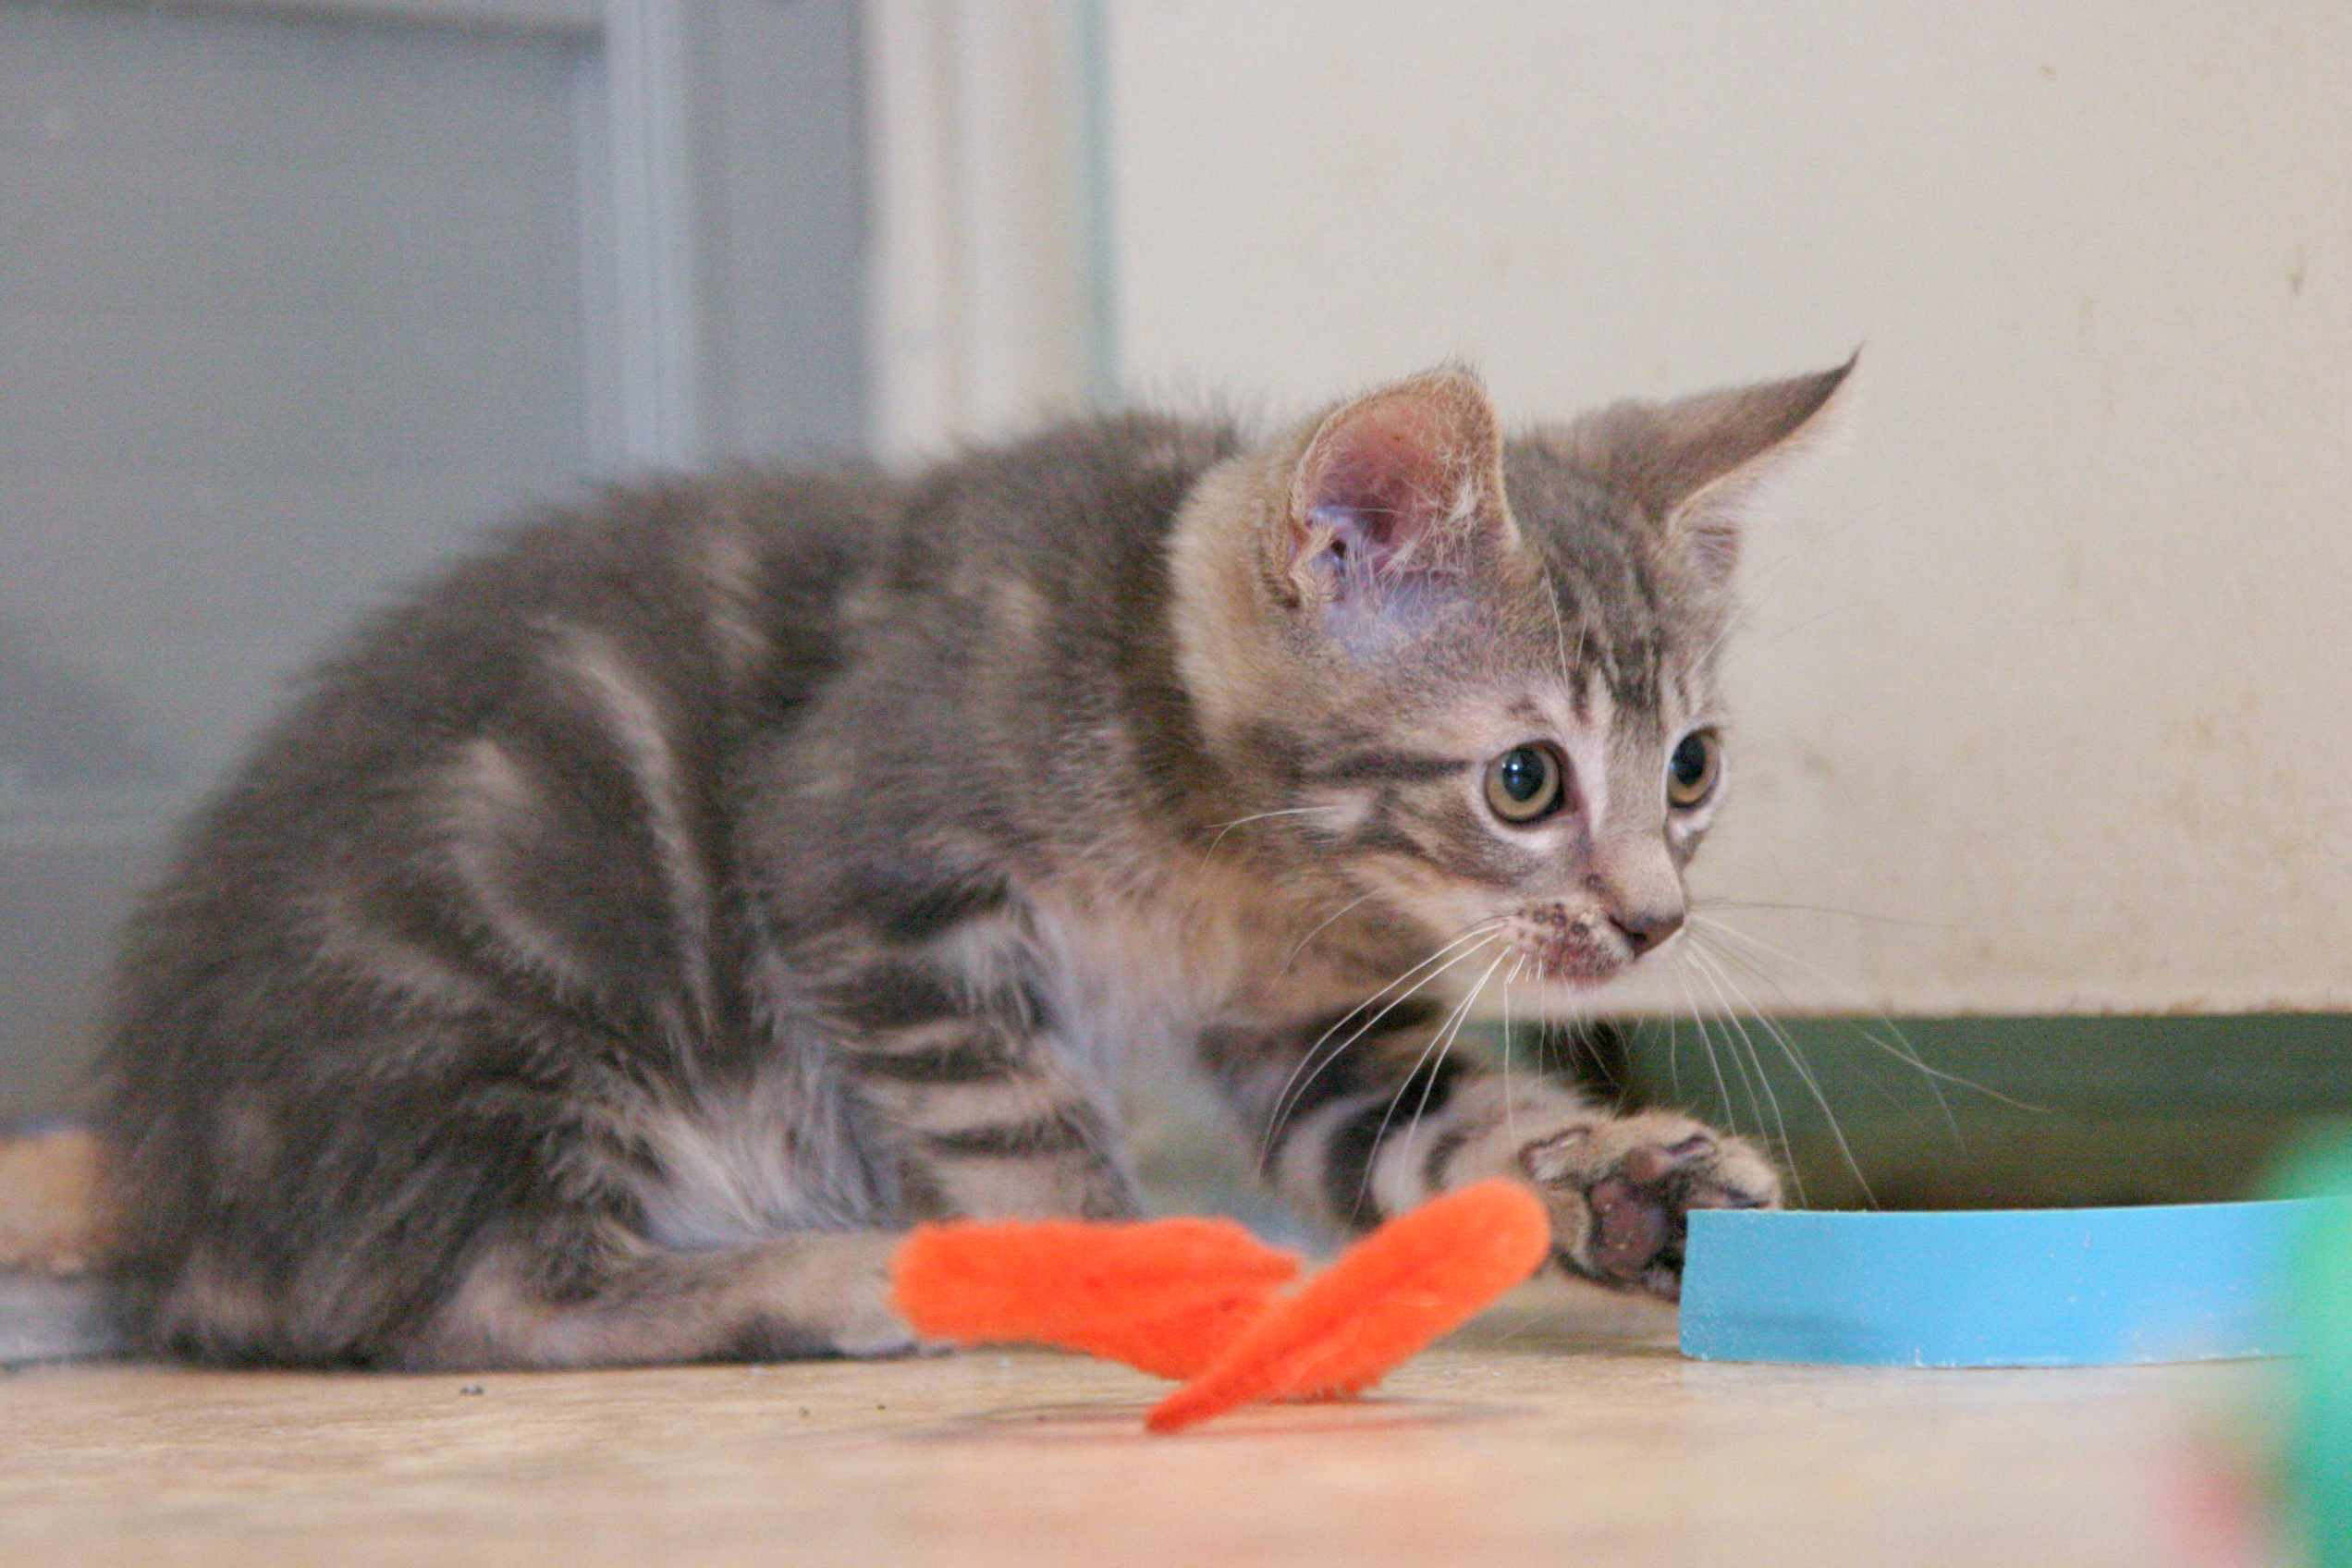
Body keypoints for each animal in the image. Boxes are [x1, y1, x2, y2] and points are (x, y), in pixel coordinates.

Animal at [101, 361, 1844, 1363]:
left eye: (1690, 768)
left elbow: (1445, 1123)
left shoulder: (1319, 1030)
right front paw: (1125, 1274)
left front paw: (1620, 1180)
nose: (1652, 920)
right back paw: (843, 1282)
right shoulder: (854, 857)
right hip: (508, 981)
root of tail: (184, 1216)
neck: (1233, 848)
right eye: (1524, 780)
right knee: (476, 1301)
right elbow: (1020, 1123)